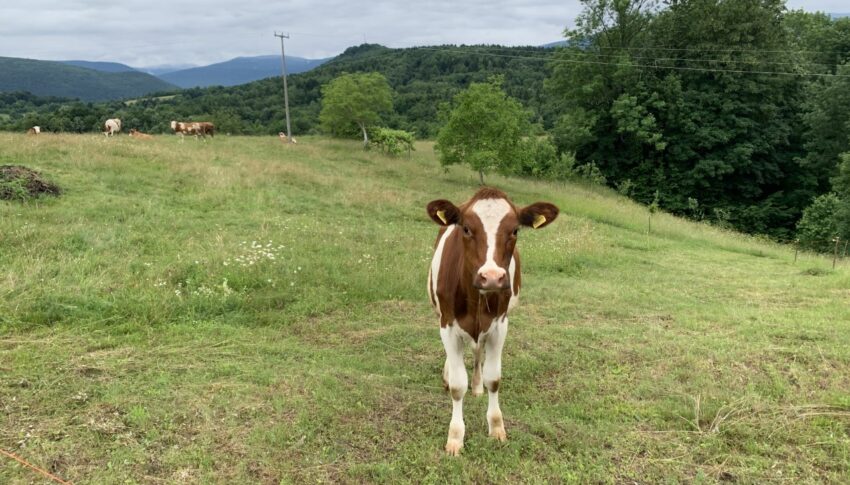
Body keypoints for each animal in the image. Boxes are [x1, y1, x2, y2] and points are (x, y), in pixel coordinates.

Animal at [424, 187, 556, 456]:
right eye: (466, 228)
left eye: (515, 230)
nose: (492, 277)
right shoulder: (447, 325)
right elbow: (457, 385)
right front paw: (455, 436)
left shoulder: (500, 326)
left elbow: (493, 379)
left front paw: (496, 427)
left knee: (477, 352)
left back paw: (476, 386)